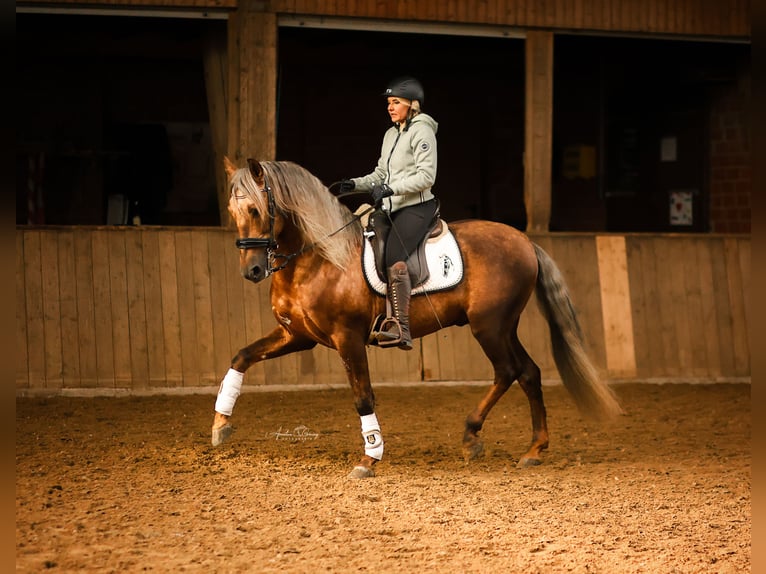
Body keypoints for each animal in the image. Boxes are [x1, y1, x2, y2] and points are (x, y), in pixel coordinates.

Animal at [212, 159, 624, 482]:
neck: (320, 257)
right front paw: (220, 424)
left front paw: (370, 458)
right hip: (504, 327)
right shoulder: (296, 335)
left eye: (255, 211)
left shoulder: (347, 338)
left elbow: (363, 396)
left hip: (489, 327)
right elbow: (241, 356)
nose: (252, 270)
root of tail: (524, 241)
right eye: (233, 213)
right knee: (528, 372)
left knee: (509, 370)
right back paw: (532, 449)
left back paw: (476, 437)